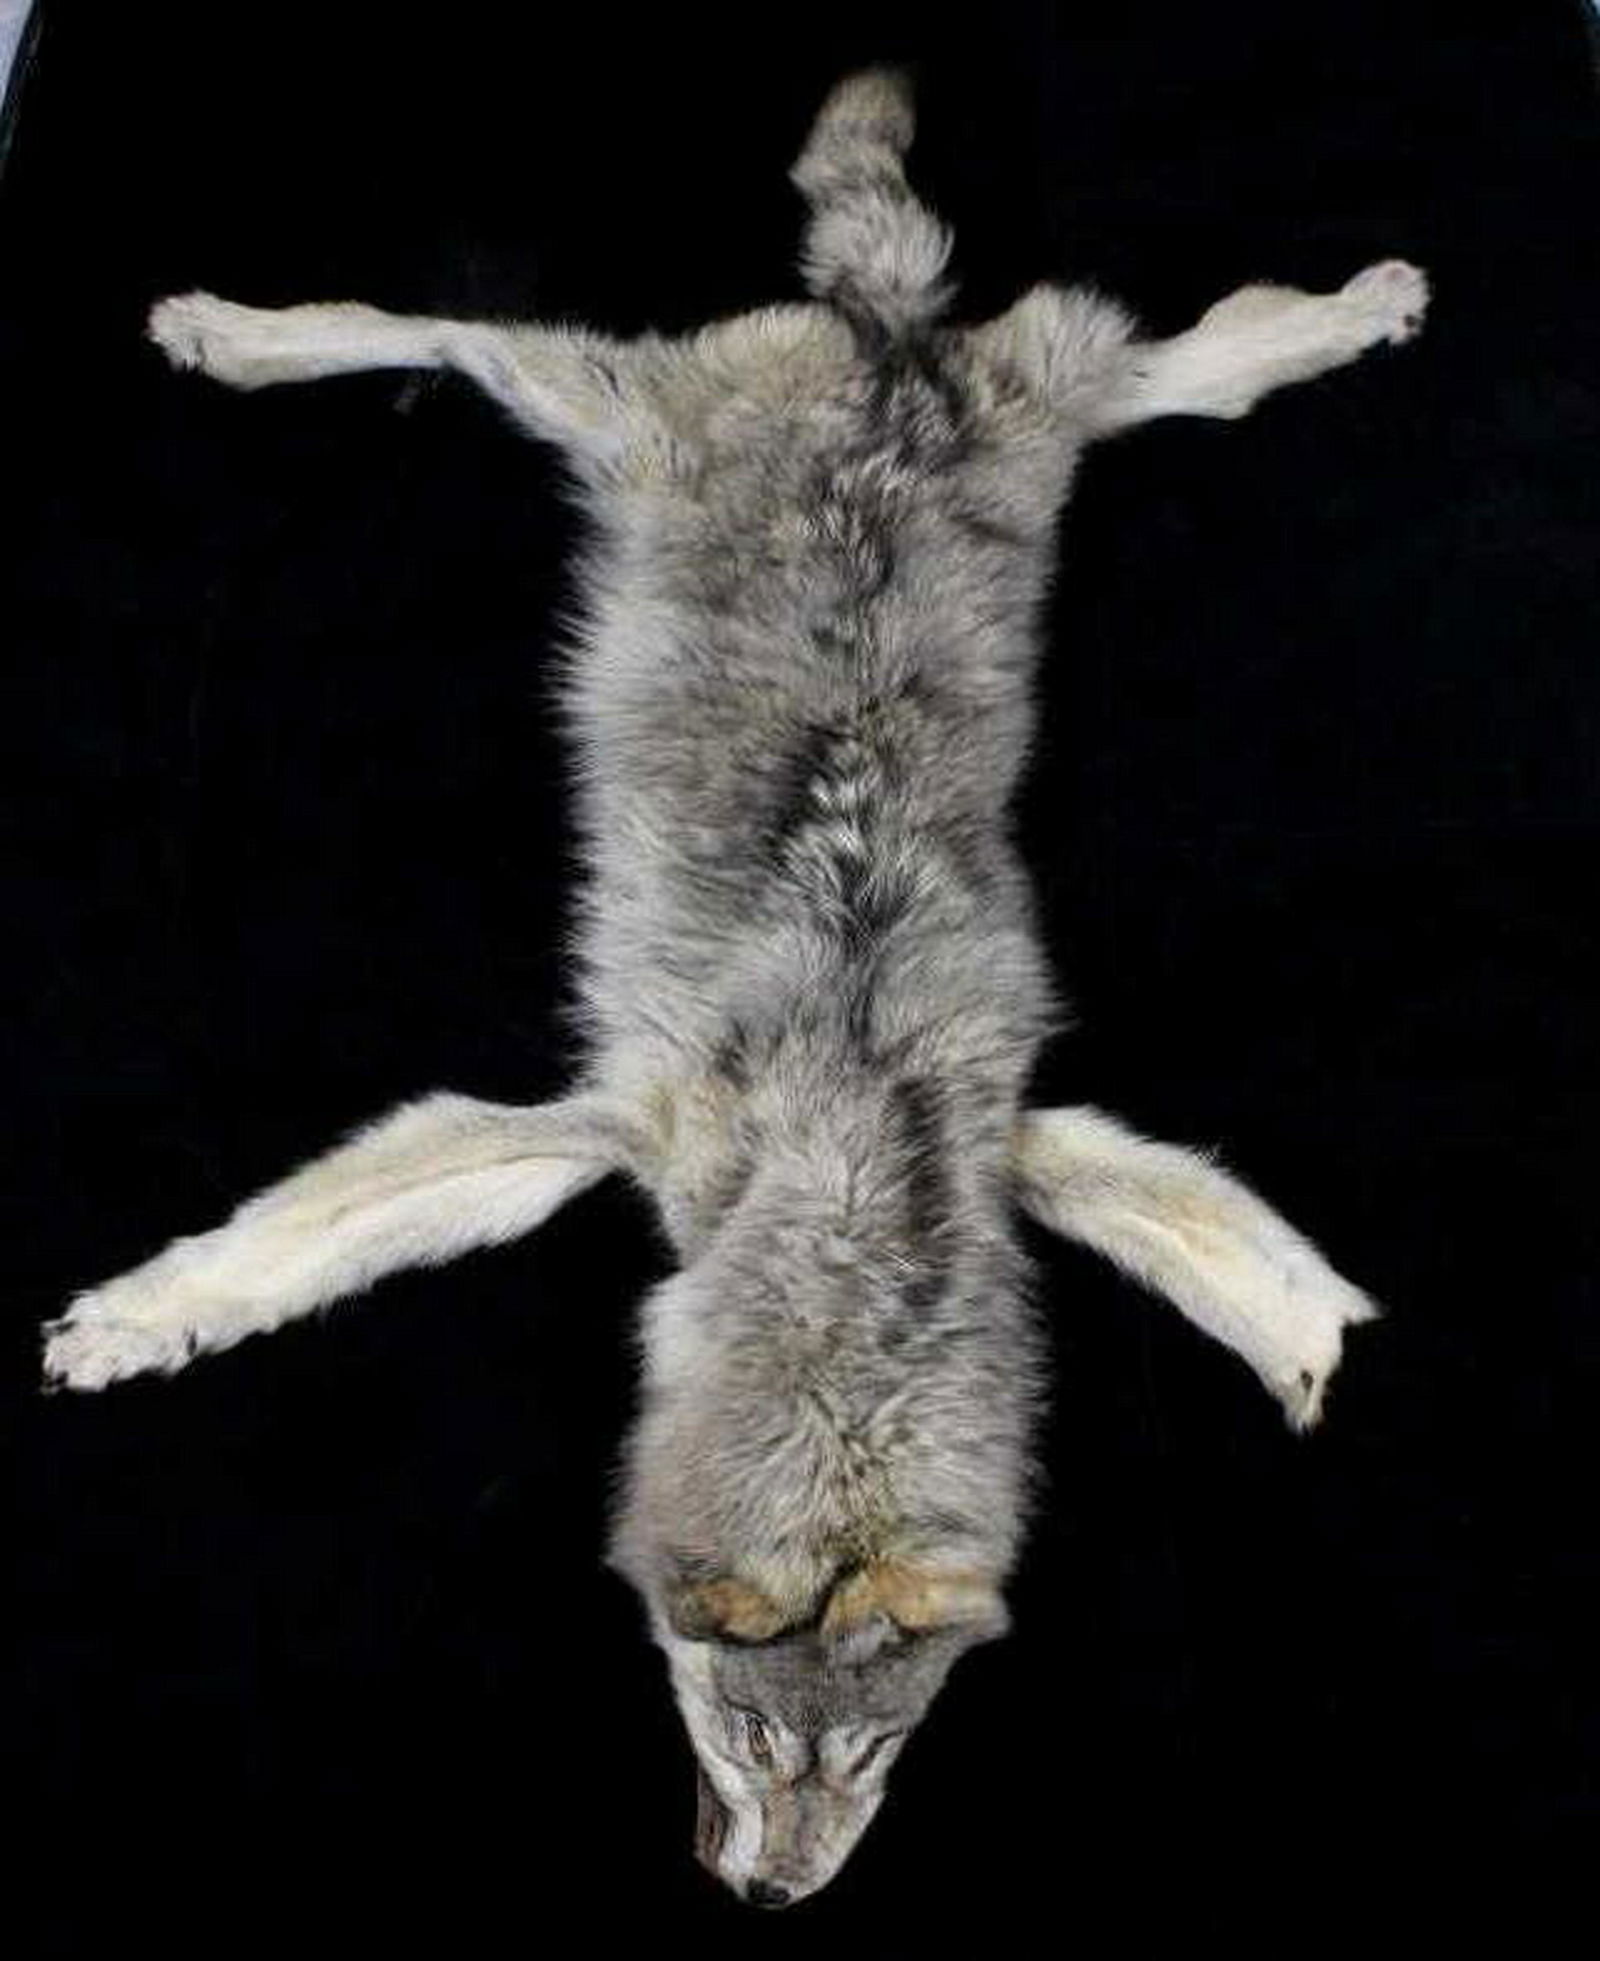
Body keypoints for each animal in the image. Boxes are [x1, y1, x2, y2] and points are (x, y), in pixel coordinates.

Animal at [41, 69, 1420, 1905]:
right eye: (753, 1735)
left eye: (881, 1755)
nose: (773, 1897)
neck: (870, 1185)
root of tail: (886, 349)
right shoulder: (593, 1129)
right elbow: (282, 1247)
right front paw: (129, 1325)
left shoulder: (1020, 1134)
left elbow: (1231, 1238)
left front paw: (1322, 1351)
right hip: (614, 412)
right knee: (441, 331)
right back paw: (230, 334)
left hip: (1060, 400)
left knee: (1205, 357)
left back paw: (1367, 307)